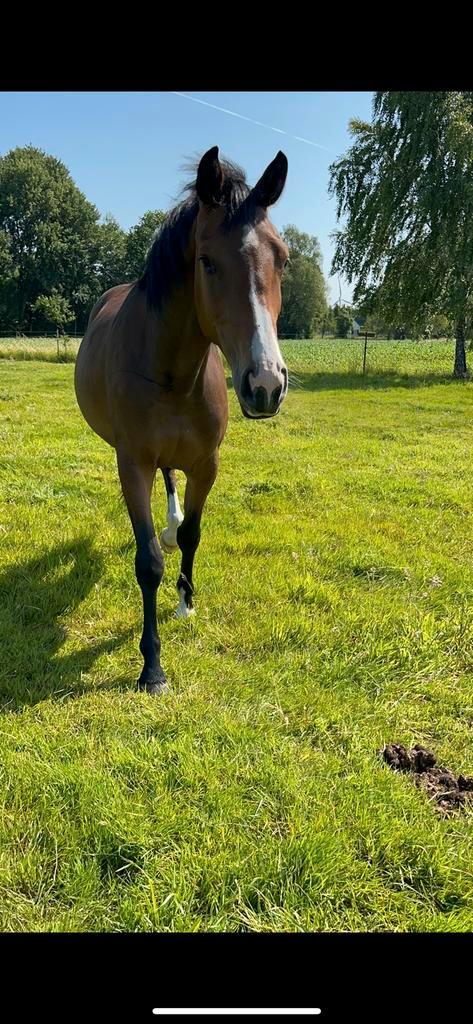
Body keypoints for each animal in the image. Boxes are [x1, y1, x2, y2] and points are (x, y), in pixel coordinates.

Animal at [74, 146, 289, 695]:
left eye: (282, 258)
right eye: (207, 261)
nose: (265, 384)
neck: (170, 370)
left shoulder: (206, 463)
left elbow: (193, 534)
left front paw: (187, 602)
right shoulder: (131, 463)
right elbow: (147, 560)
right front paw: (152, 667)